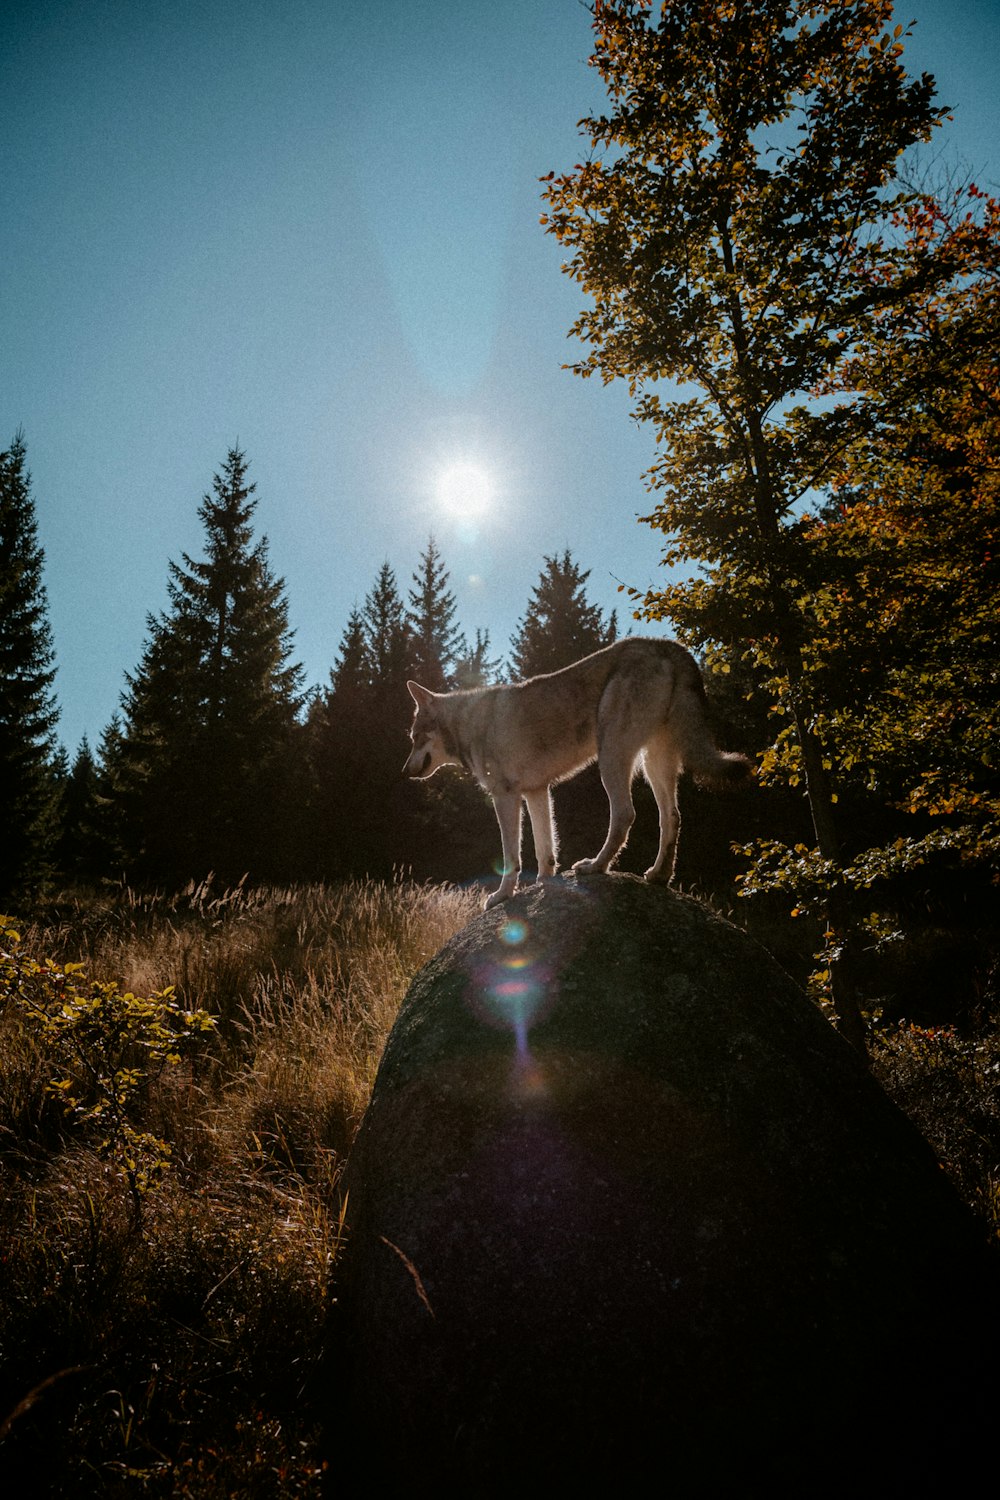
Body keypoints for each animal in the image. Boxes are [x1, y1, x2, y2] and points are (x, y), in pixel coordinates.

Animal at [401, 639, 755, 906]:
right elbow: (545, 850)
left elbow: (511, 856)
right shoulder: (536, 792)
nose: (405, 771)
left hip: (611, 758)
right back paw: (659, 875)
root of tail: (665, 644)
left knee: (625, 814)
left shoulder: (505, 797)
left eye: (415, 737)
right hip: (653, 763)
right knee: (672, 817)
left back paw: (596, 866)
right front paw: (542, 885)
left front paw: (502, 896)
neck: (470, 725)